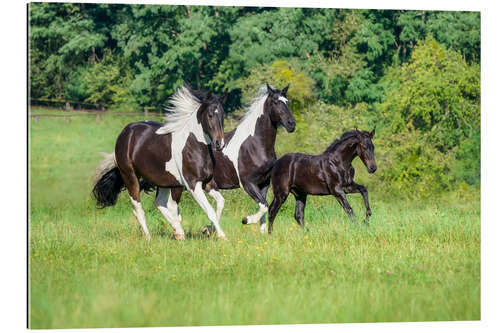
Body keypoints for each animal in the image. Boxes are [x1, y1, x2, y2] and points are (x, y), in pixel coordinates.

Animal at [91, 86, 227, 239]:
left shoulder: (207, 182)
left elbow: (220, 203)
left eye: (223, 115)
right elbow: (209, 210)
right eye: (210, 115)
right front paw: (223, 236)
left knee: (160, 203)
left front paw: (207, 230)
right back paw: (150, 237)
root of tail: (126, 132)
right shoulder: (193, 185)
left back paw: (177, 231)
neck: (194, 146)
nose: (219, 143)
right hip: (130, 176)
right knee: (138, 208)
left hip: (163, 181)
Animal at [168, 83, 294, 233]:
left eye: (287, 102)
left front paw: (262, 233)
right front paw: (246, 220)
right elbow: (264, 206)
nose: (292, 124)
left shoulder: (264, 184)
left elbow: (263, 207)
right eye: (275, 102)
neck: (255, 144)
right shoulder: (247, 183)